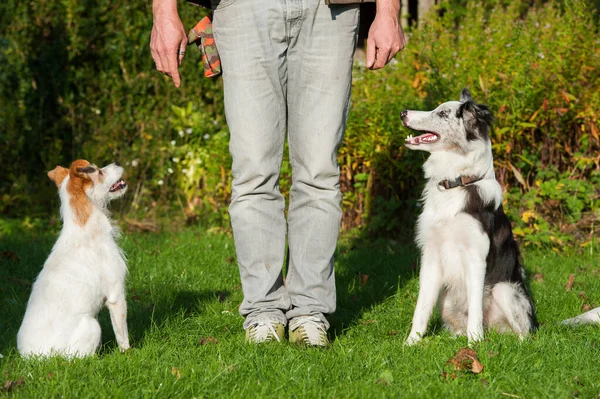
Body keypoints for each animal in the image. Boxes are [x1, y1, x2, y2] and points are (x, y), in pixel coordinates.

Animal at [18, 160, 131, 360]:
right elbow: (122, 335)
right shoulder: (116, 295)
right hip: (92, 326)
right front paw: (128, 354)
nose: (117, 162)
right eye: (99, 172)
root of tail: (35, 359)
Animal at [400, 89, 536, 346]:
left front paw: (474, 343)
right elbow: (421, 307)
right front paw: (411, 342)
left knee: (526, 334)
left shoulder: (475, 256)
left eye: (442, 113)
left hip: (504, 289)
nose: (403, 112)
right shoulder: (430, 256)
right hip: (448, 298)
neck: (456, 182)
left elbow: (475, 308)